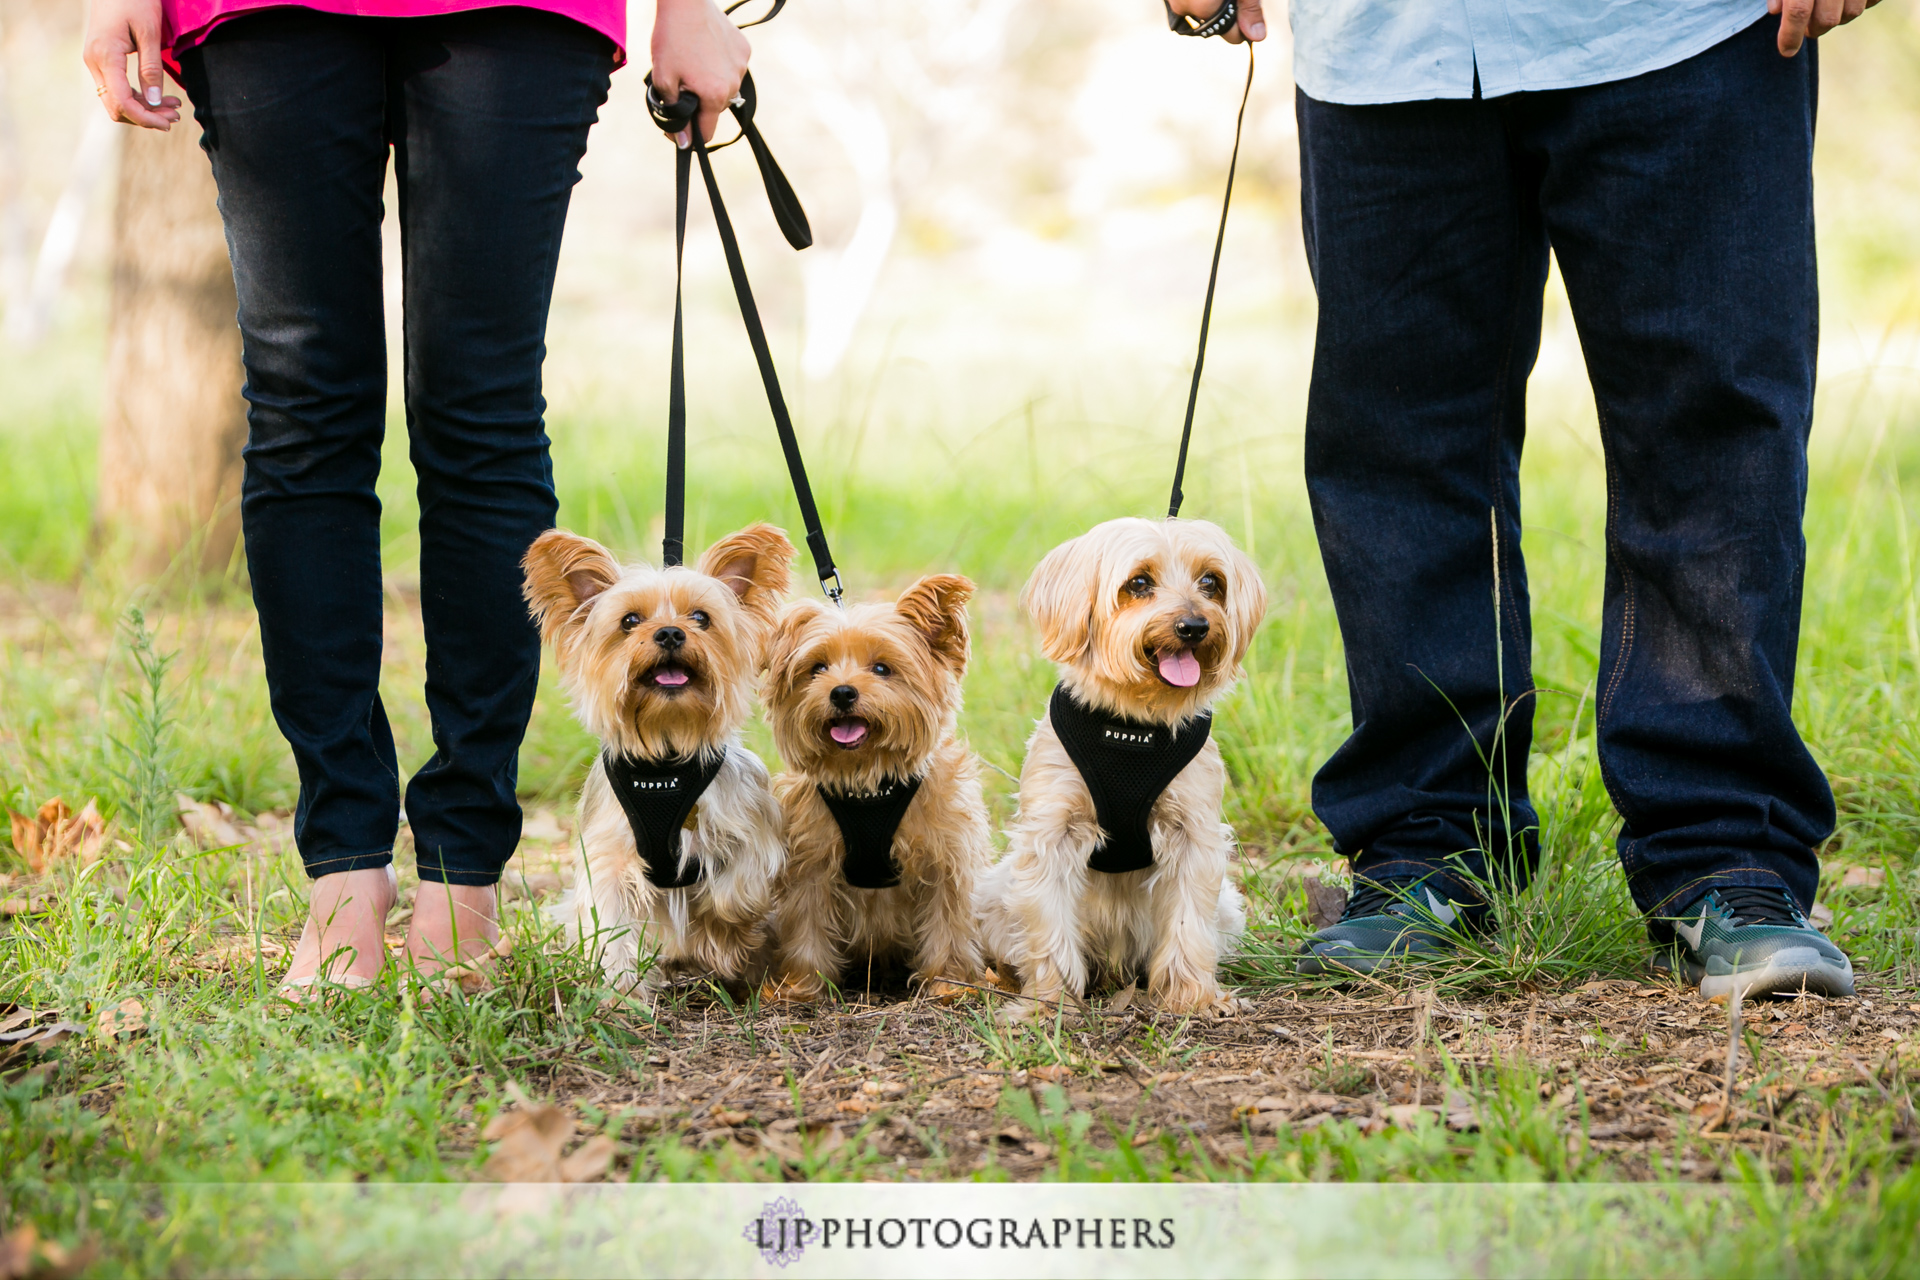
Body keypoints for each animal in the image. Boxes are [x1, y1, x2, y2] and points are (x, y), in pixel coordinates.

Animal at [752, 575, 990, 1005]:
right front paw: (801, 985)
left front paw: (948, 983)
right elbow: (807, 925)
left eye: (882, 668)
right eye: (818, 668)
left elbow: (948, 924)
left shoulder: (946, 860)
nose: (842, 692)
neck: (866, 779)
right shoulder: (809, 865)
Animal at [983, 514, 1267, 1028]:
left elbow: (1188, 924)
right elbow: (1049, 925)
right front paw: (1049, 1004)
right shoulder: (1051, 835)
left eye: (1211, 583)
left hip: (1228, 908)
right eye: (1138, 583)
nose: (1195, 626)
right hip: (996, 892)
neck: (1132, 722)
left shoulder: (1194, 834)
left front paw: (1194, 997)